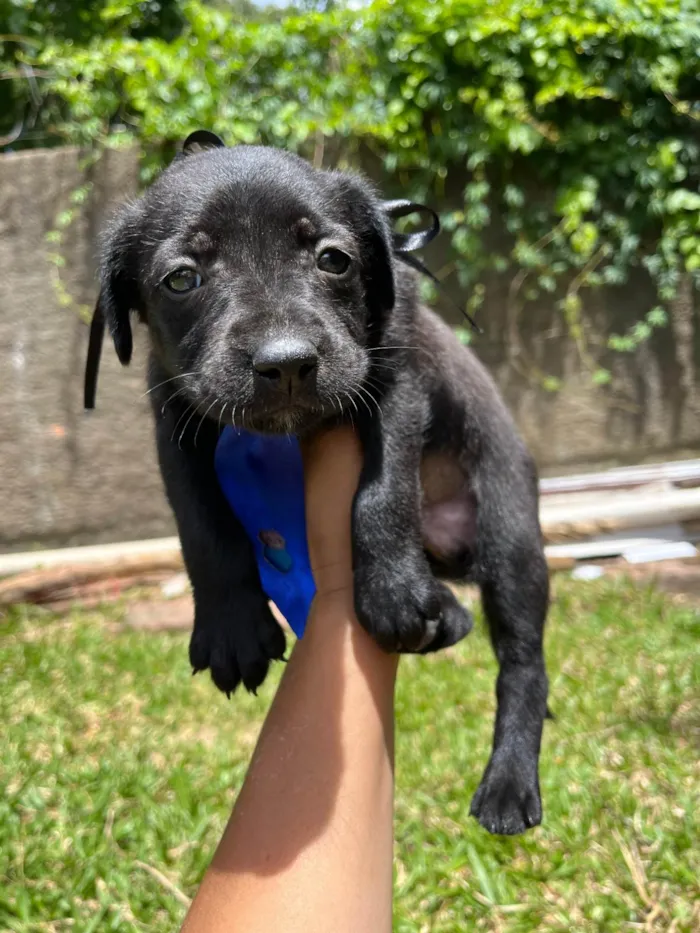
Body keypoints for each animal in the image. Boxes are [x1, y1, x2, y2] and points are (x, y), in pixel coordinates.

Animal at [85, 129, 548, 832]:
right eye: (182, 278)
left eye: (334, 260)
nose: (286, 363)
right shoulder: (177, 422)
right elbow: (203, 526)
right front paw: (232, 627)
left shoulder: (398, 383)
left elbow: (383, 494)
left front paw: (391, 591)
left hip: (513, 538)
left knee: (524, 662)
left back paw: (509, 783)